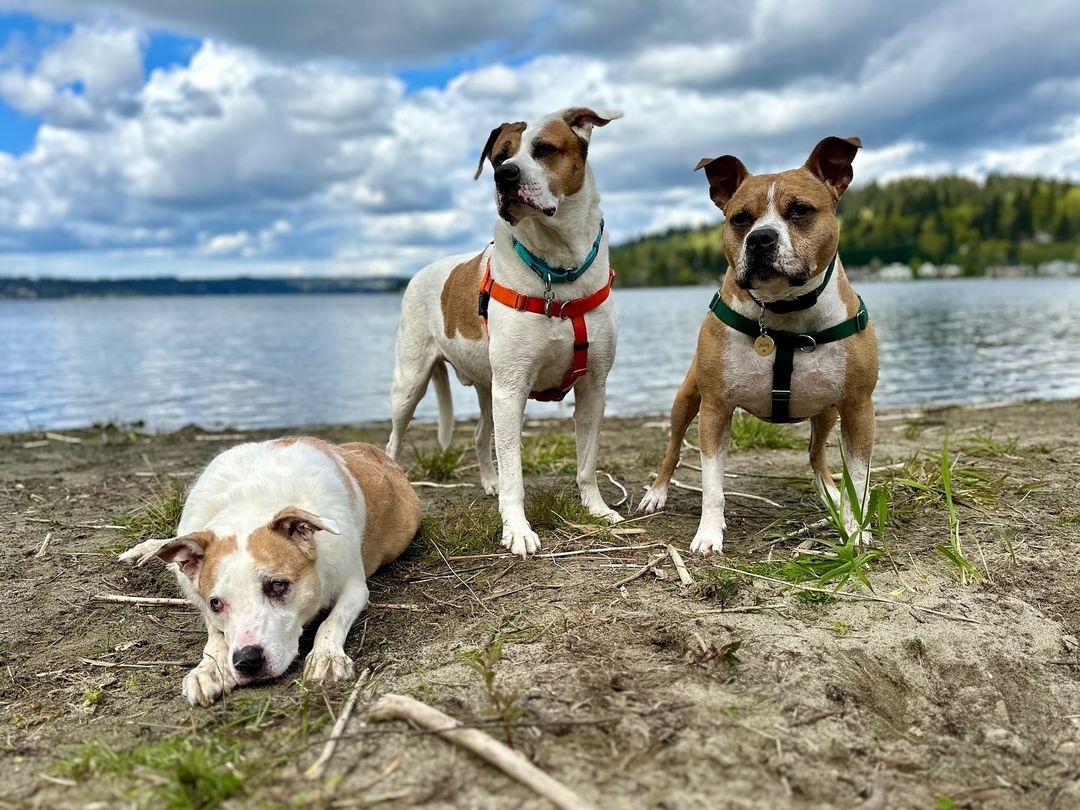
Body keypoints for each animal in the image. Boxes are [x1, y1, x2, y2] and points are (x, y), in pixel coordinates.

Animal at [118, 438, 419, 704]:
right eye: (216, 603)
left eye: (278, 585)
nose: (247, 661)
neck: (250, 500)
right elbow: (216, 634)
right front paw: (209, 668)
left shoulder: (354, 585)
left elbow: (333, 620)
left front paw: (326, 655)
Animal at [388, 106, 626, 557]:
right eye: (500, 156)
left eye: (545, 149)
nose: (505, 176)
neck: (557, 271)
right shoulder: (512, 389)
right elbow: (515, 471)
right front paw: (516, 529)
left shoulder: (594, 388)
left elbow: (586, 462)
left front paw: (597, 509)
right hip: (410, 383)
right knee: (394, 439)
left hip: (486, 386)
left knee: (483, 435)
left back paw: (489, 482)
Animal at [639, 138, 876, 557]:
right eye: (740, 219)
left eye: (800, 210)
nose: (760, 238)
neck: (784, 311)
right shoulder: (715, 408)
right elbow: (712, 484)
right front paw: (708, 534)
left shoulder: (858, 407)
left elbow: (859, 480)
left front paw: (855, 530)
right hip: (686, 399)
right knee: (672, 448)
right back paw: (657, 492)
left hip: (827, 412)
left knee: (816, 453)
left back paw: (829, 492)